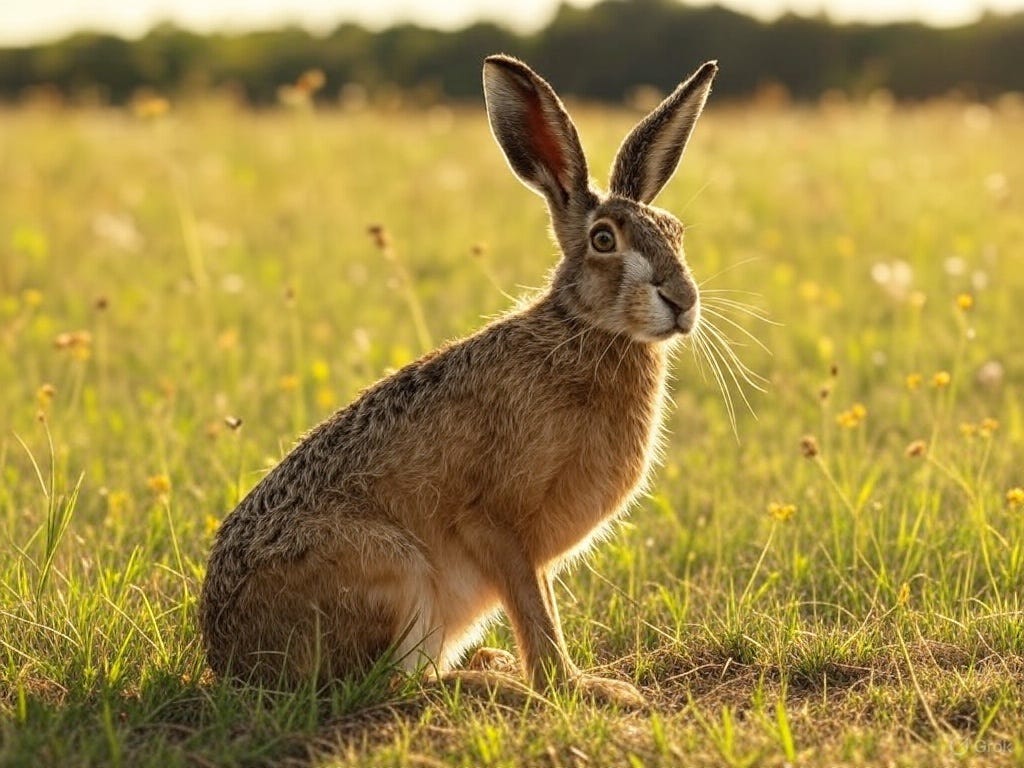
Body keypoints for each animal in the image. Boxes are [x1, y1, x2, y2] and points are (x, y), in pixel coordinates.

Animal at [200, 54, 718, 708]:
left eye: (676, 233)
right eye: (604, 239)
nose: (681, 301)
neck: (584, 328)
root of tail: (230, 660)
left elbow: (542, 606)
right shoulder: (493, 521)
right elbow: (536, 614)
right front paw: (579, 690)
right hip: (393, 573)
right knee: (386, 687)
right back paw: (501, 686)